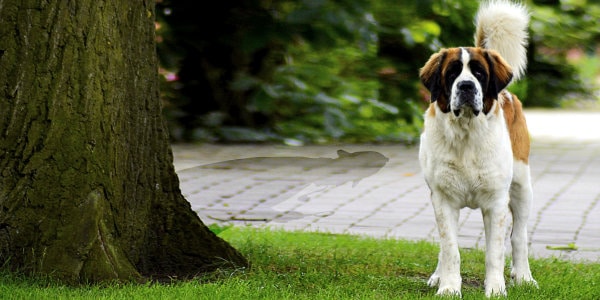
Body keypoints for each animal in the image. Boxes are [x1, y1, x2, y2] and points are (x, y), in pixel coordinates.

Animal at [420, 0, 536, 298]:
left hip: (522, 185)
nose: (466, 86)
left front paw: (495, 288)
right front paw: (449, 287)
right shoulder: (443, 199)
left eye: (479, 74)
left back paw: (524, 277)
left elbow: (495, 251)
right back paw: (437, 276)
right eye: (452, 74)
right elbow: (450, 248)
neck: (466, 134)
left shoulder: (496, 202)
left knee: (519, 236)